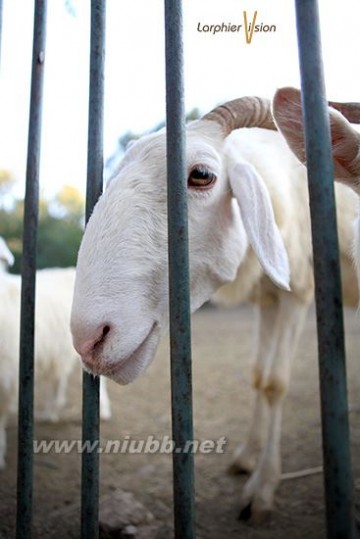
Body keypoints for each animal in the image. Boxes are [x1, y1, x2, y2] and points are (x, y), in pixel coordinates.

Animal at [69, 97, 358, 524]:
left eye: (202, 175)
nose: (89, 339)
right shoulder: (268, 296)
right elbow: (259, 376)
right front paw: (247, 457)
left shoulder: (299, 290)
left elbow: (276, 382)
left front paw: (262, 489)